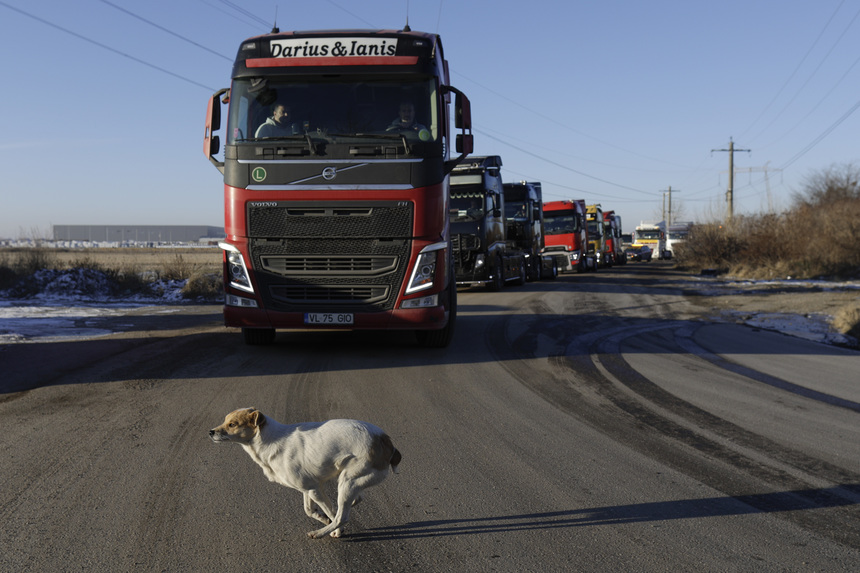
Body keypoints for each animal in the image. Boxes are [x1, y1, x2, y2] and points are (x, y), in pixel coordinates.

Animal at [210, 406, 402, 536]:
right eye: (225, 421)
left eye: (232, 424)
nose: (210, 431)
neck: (268, 439)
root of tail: (386, 441)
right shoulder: (308, 488)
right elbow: (309, 510)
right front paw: (322, 518)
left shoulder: (314, 489)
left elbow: (331, 513)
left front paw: (336, 531)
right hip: (350, 481)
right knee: (355, 500)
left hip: (348, 482)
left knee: (342, 516)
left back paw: (320, 533)